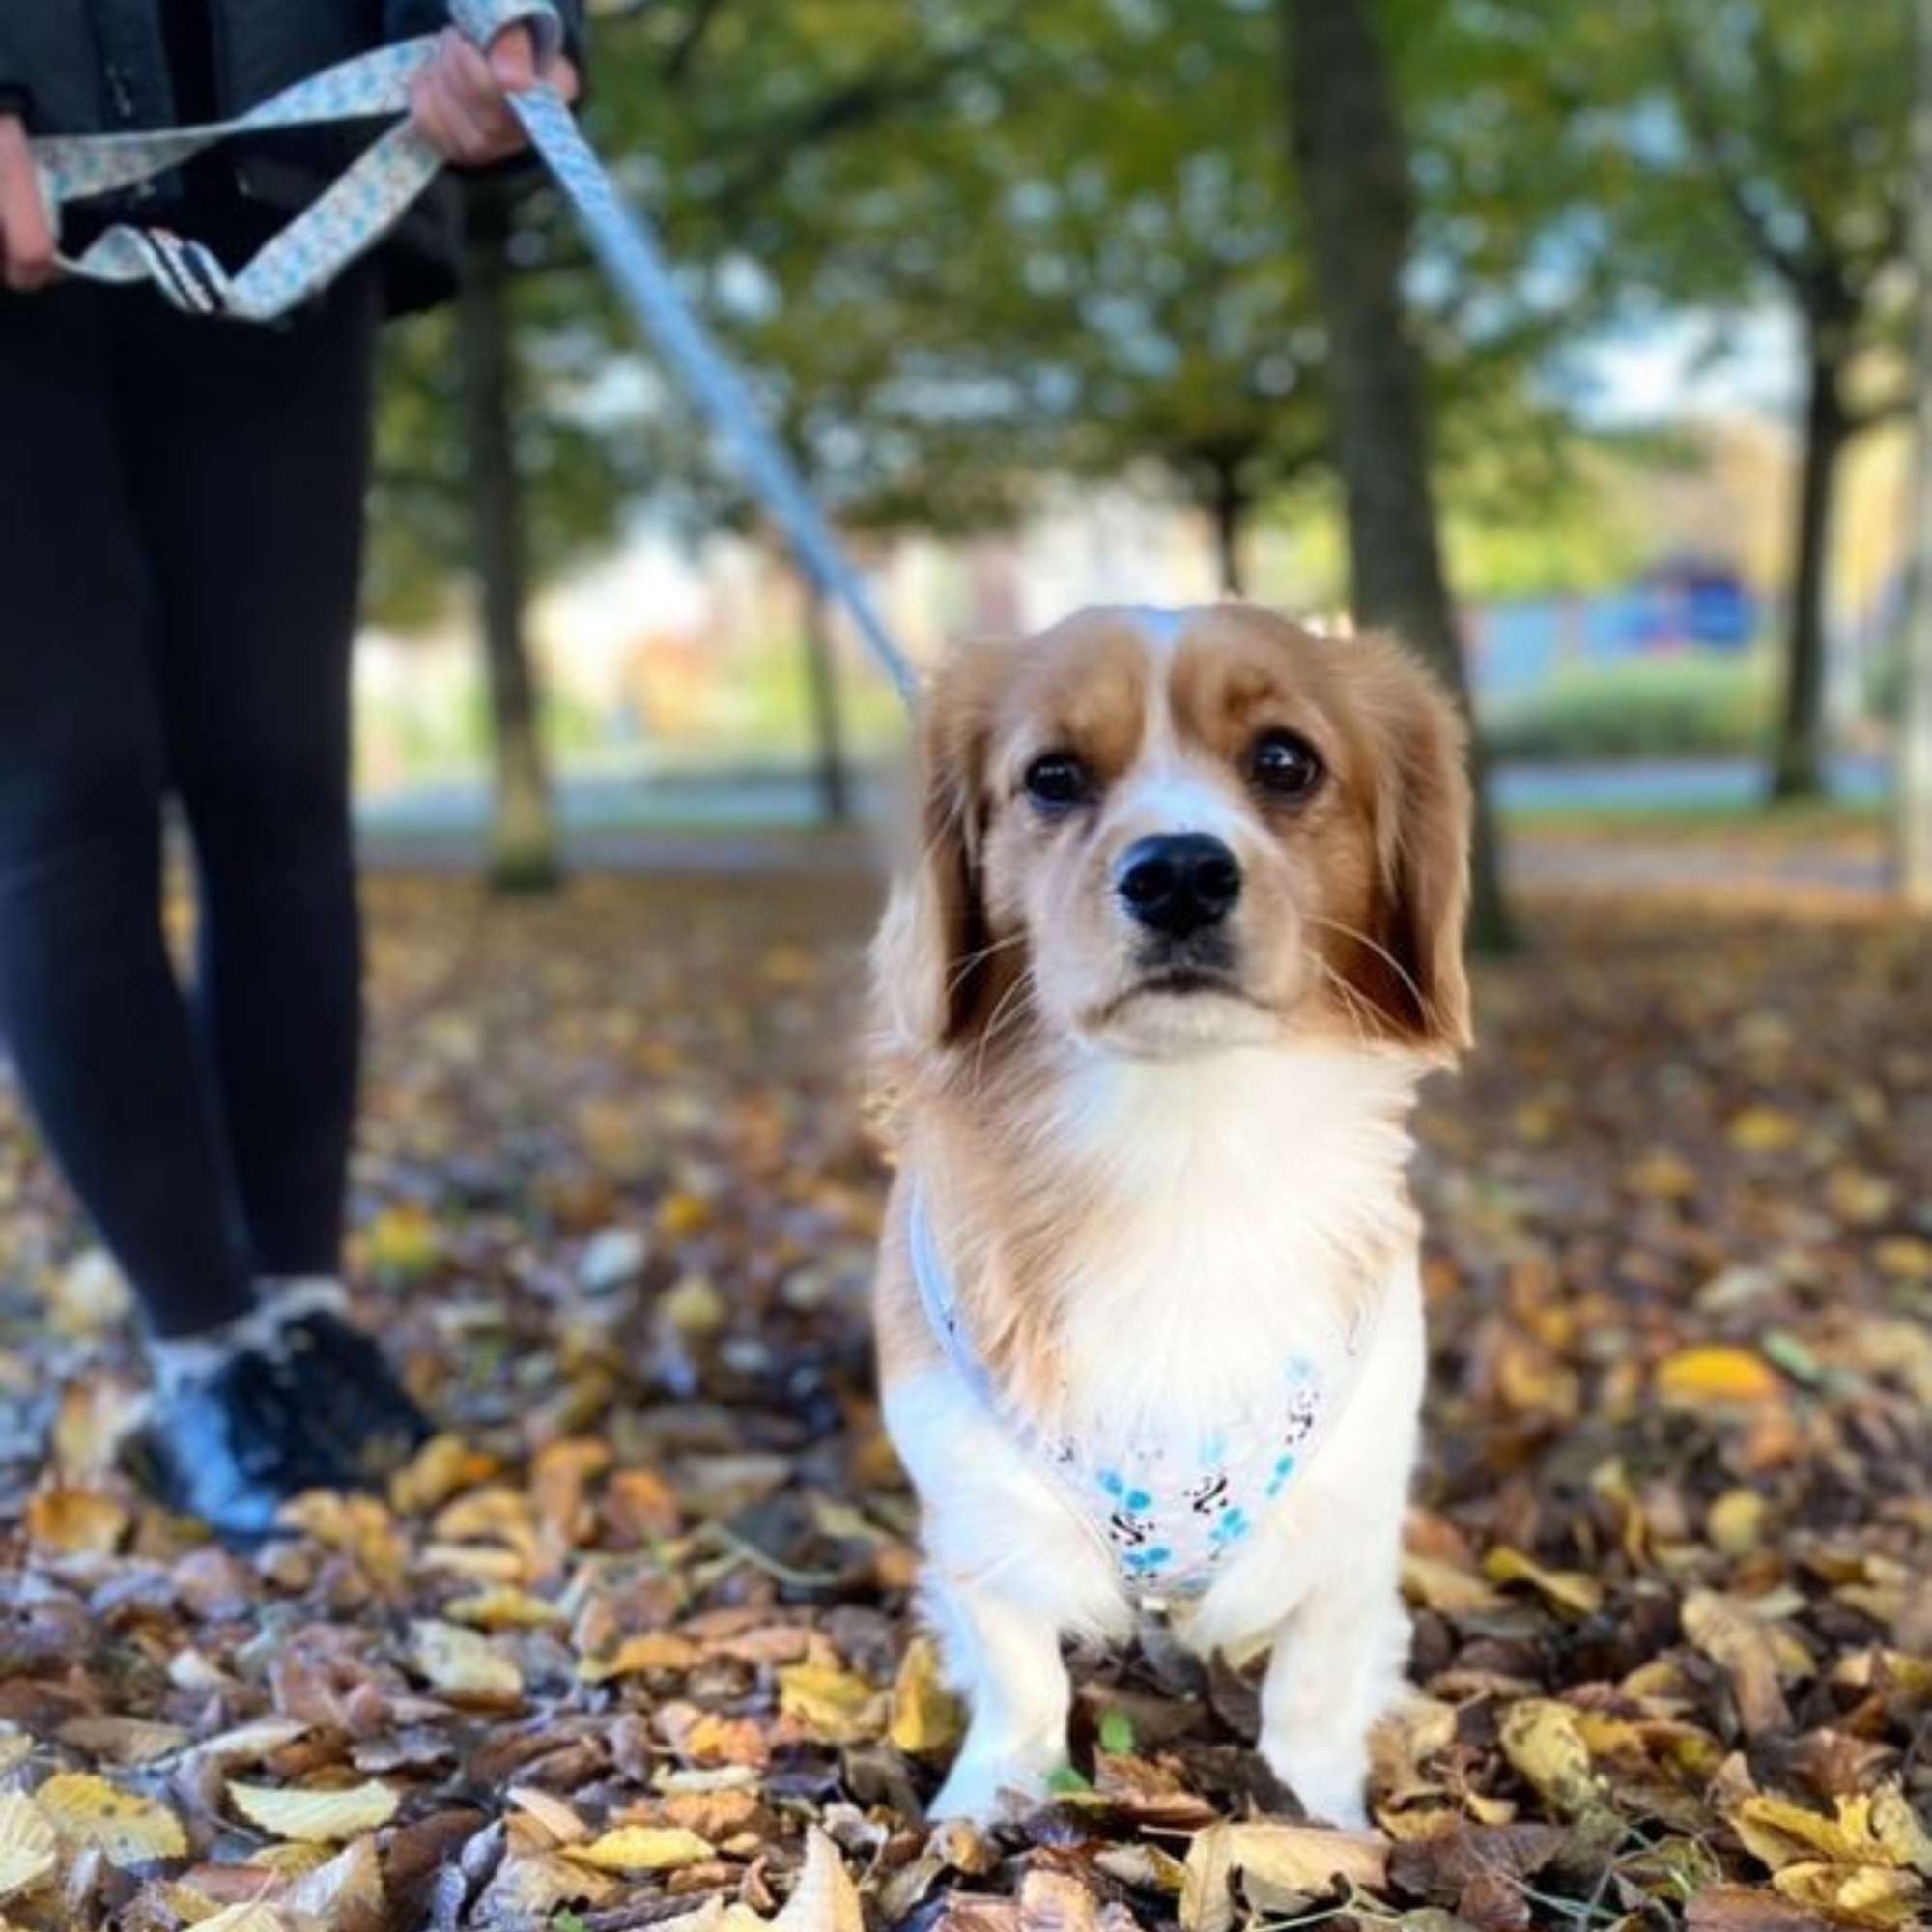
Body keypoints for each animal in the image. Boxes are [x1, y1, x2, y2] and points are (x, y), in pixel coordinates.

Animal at [869, 599, 1468, 1824]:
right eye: (1051, 776)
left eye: (1283, 761)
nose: (1179, 872)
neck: (1184, 1146)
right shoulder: (972, 1507)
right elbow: (1018, 1666)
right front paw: (992, 1792)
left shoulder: (1351, 1521)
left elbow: (1314, 1682)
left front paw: (1313, 1812)